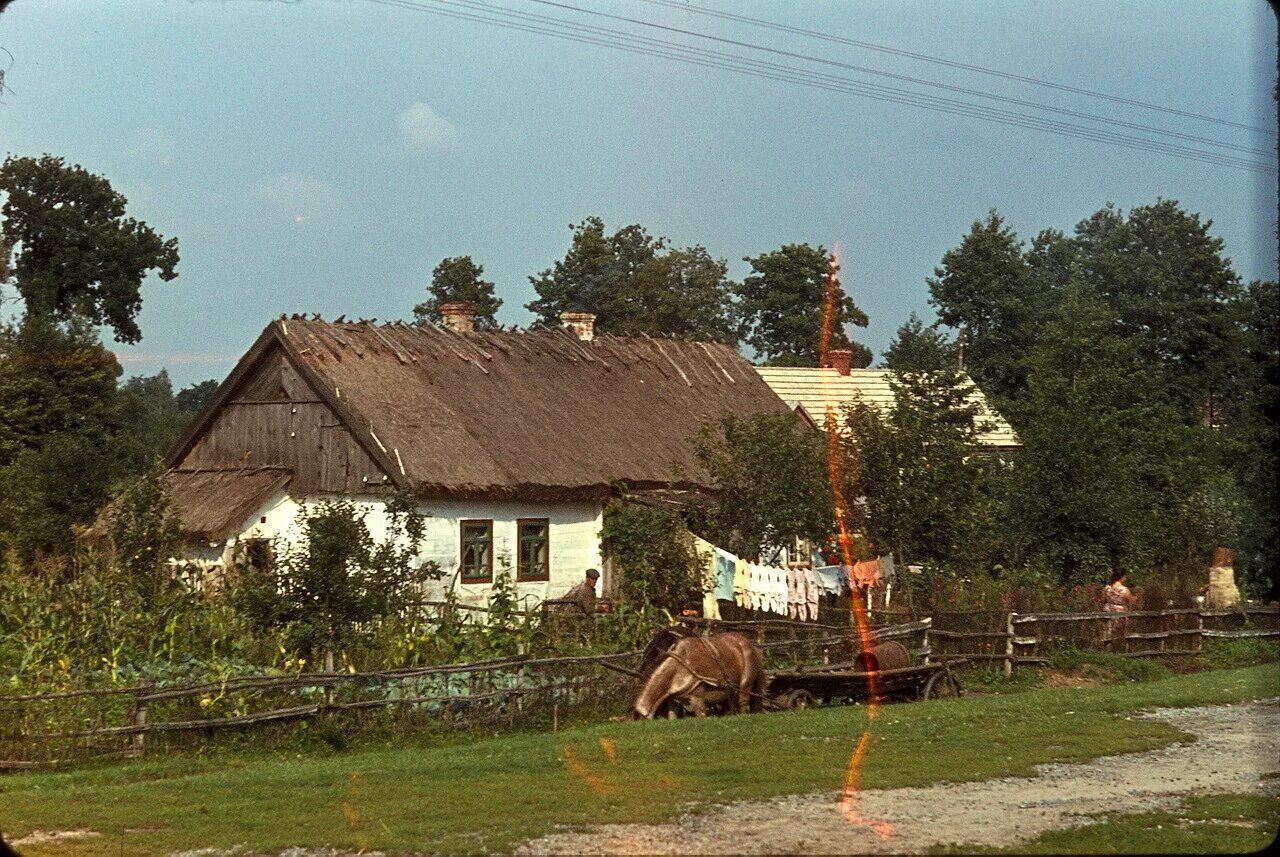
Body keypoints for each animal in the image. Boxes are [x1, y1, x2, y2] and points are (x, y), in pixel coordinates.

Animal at [627, 631, 762, 716]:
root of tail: (750, 644)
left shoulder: (697, 699)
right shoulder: (673, 702)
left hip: (745, 687)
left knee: (744, 707)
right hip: (731, 693)